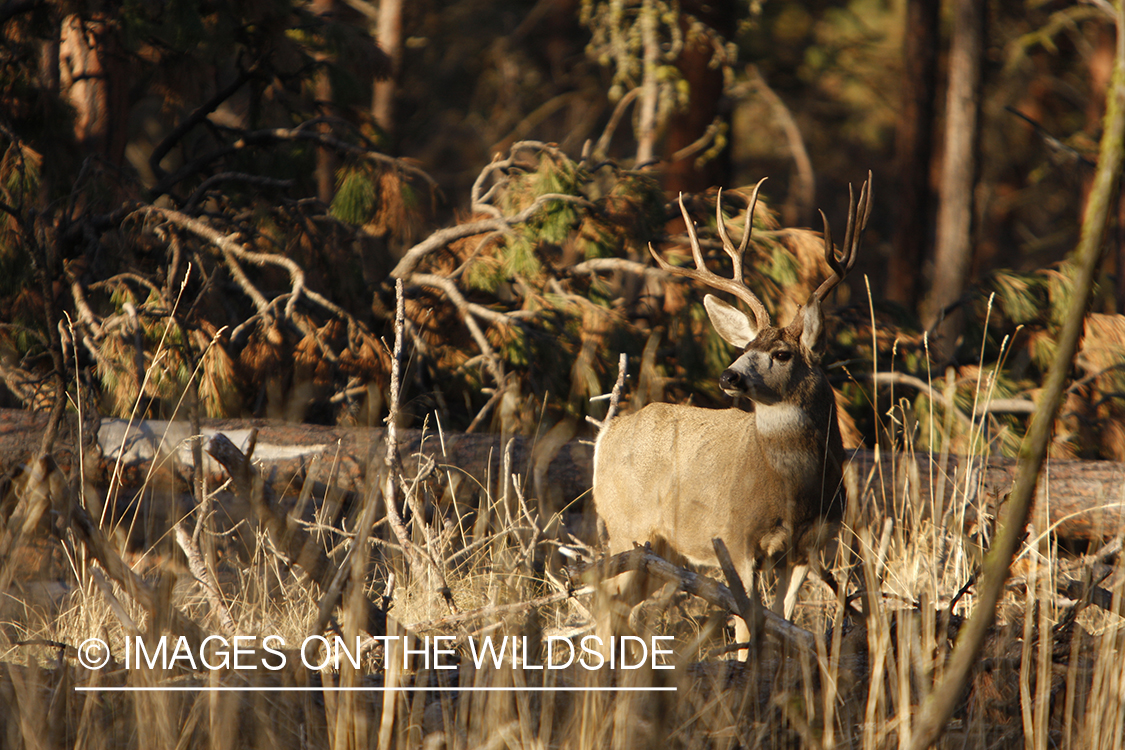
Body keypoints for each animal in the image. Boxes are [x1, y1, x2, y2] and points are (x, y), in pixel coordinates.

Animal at [591, 175, 871, 654]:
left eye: (781, 353)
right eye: (745, 348)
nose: (729, 375)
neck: (794, 490)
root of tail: (605, 434)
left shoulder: (808, 549)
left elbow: (783, 623)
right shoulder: (738, 540)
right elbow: (746, 627)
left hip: (661, 549)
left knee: (619, 609)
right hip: (624, 525)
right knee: (604, 606)